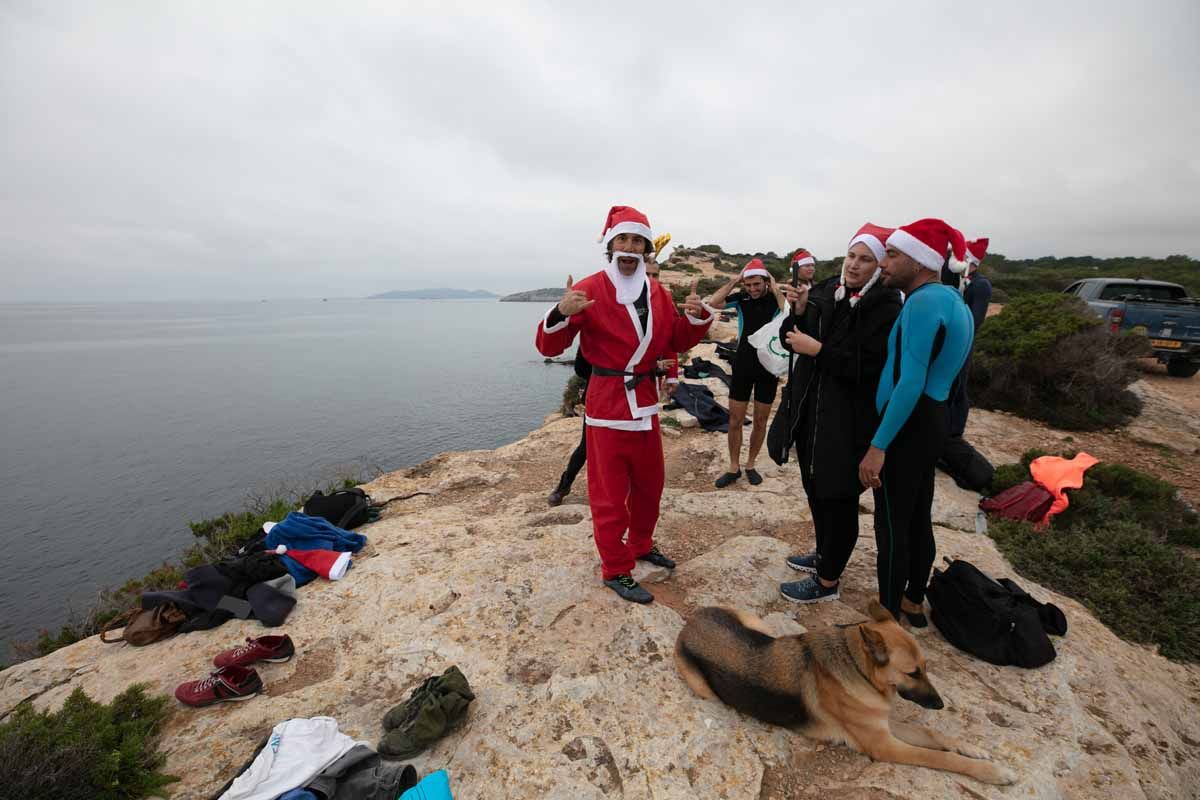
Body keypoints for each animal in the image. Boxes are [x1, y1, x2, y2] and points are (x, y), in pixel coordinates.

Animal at [676, 599, 1012, 782]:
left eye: (926, 667)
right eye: (912, 672)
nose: (941, 705)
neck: (857, 667)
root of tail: (690, 621)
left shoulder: (884, 724)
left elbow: (933, 734)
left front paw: (974, 748)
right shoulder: (883, 745)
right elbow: (940, 758)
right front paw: (994, 773)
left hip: (760, 628)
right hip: (703, 688)